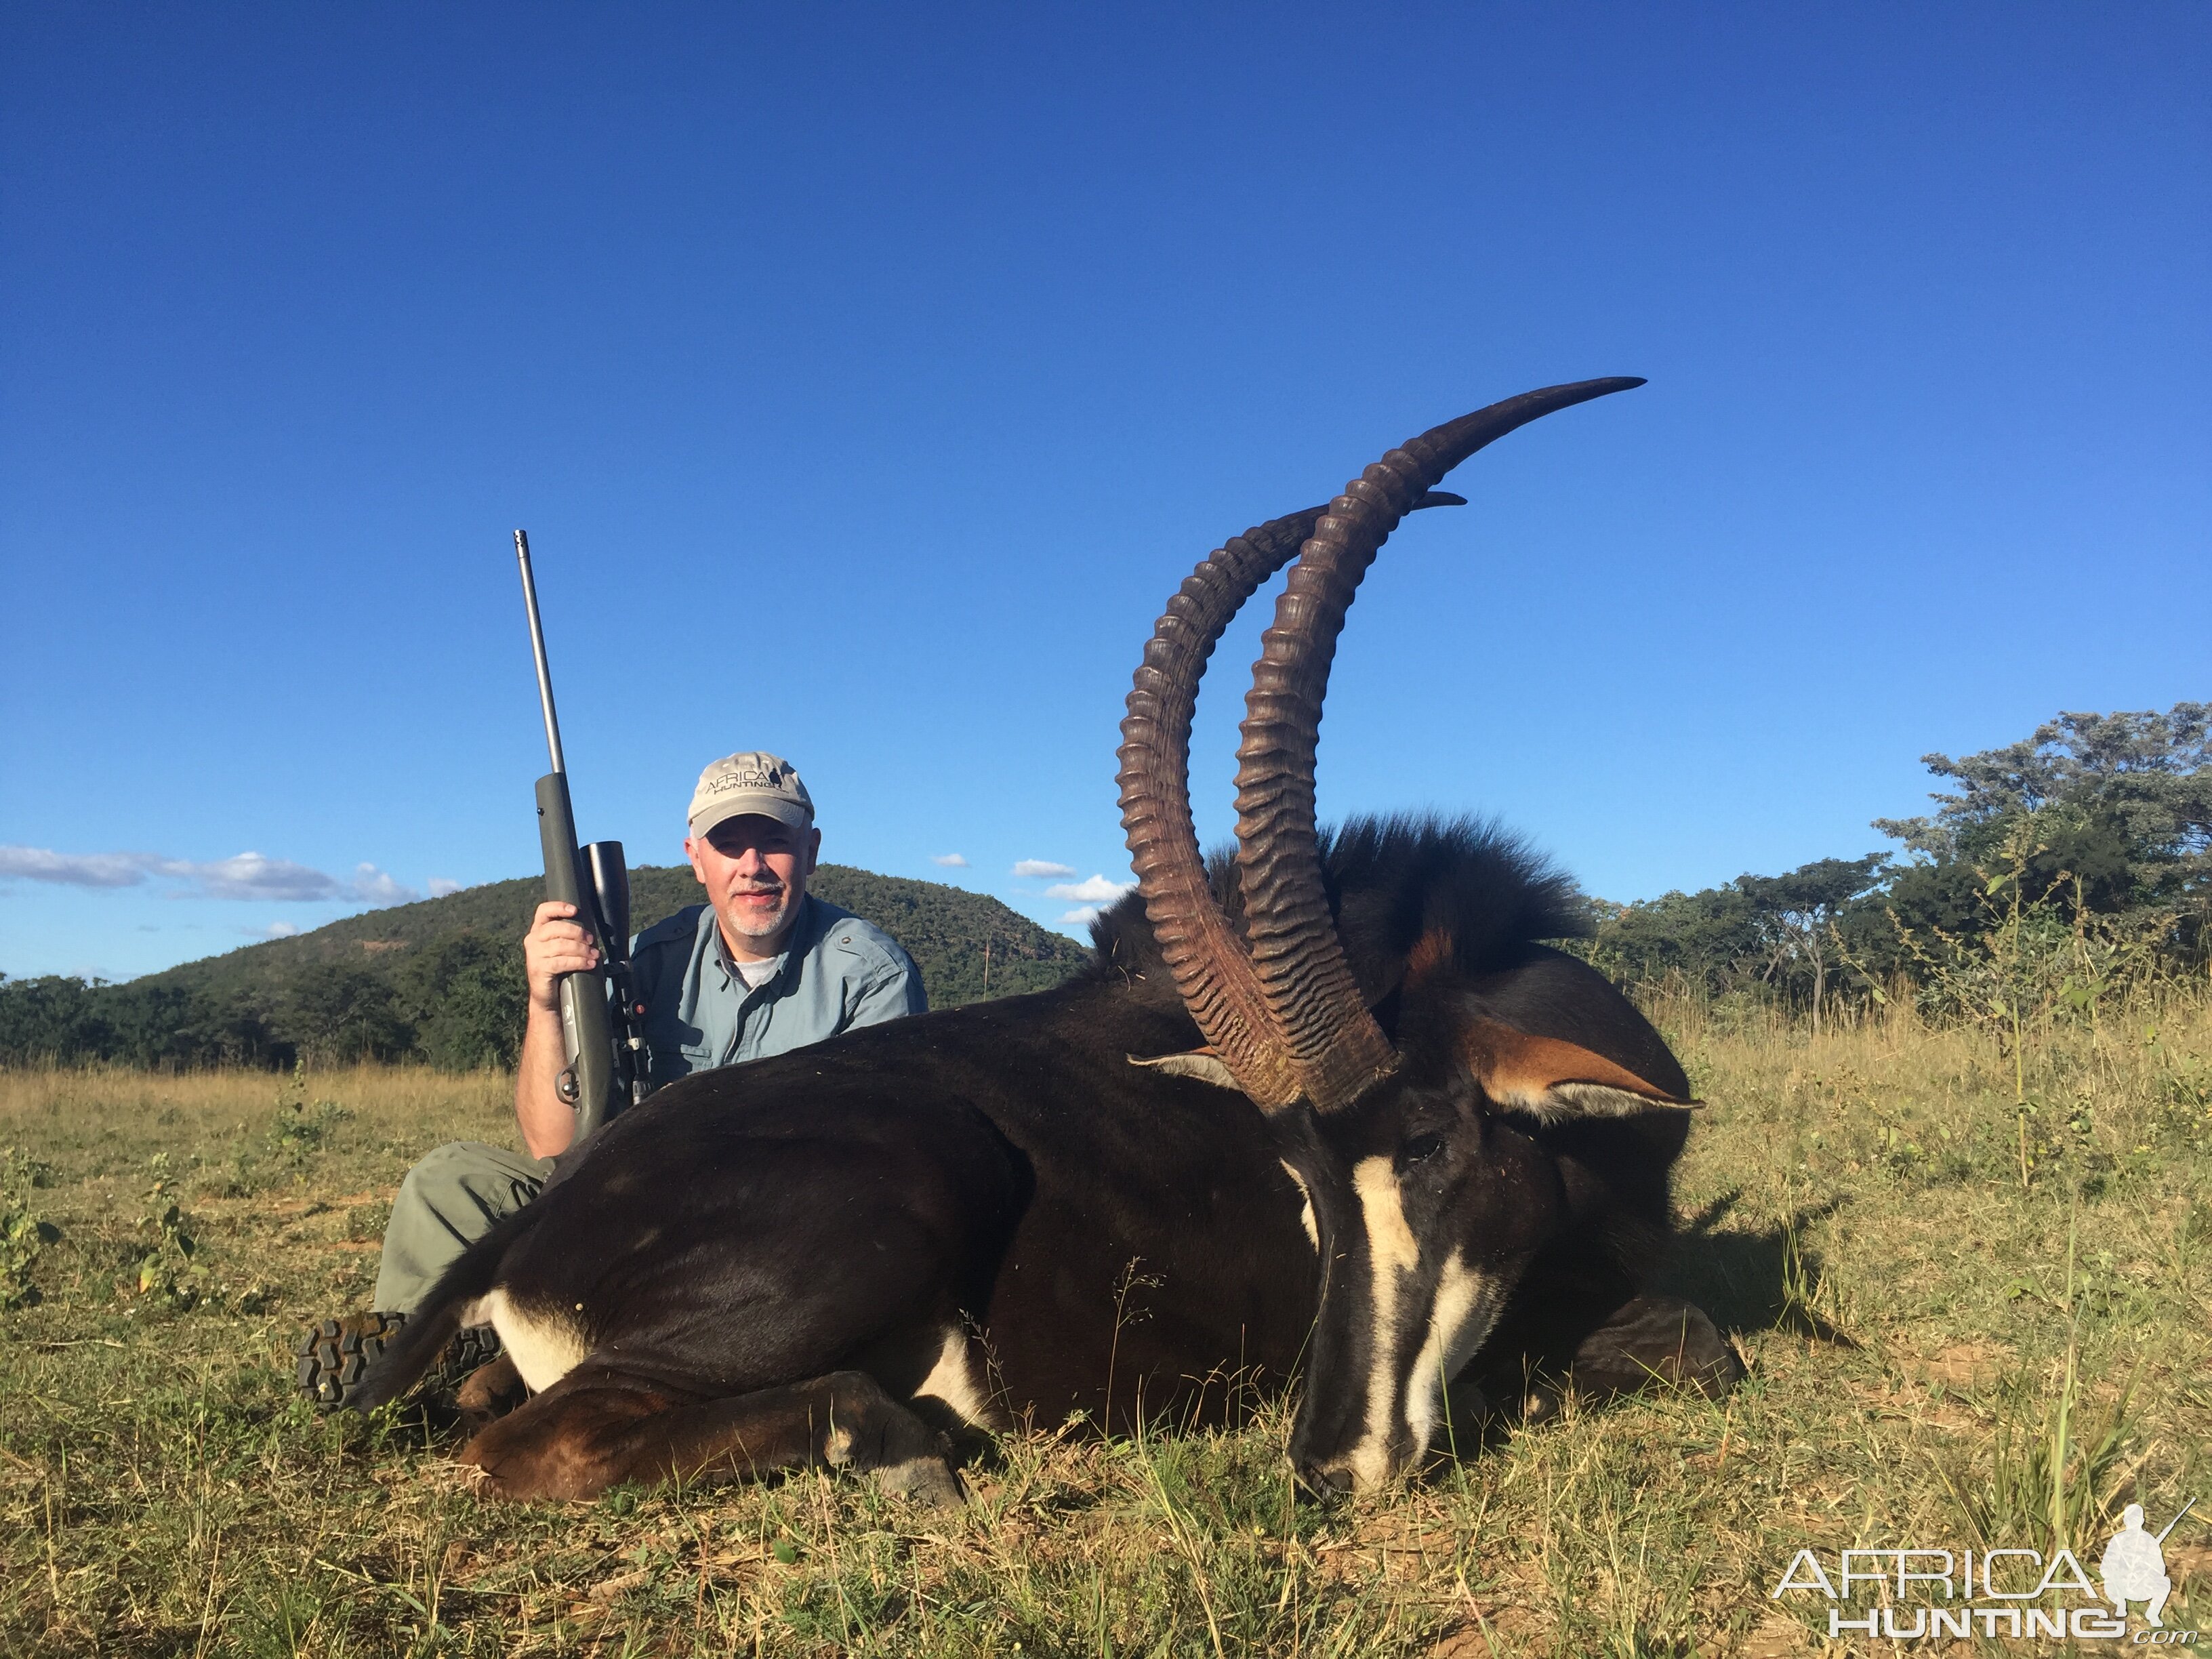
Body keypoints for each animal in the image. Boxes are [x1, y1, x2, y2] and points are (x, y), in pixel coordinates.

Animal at [354, 380, 1734, 1504]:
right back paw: (897, 1438)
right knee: (533, 1442)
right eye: (1300, 1179)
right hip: (908, 1188)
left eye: (1438, 1145)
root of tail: (542, 1214)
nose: (1332, 1463)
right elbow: (1683, 1344)